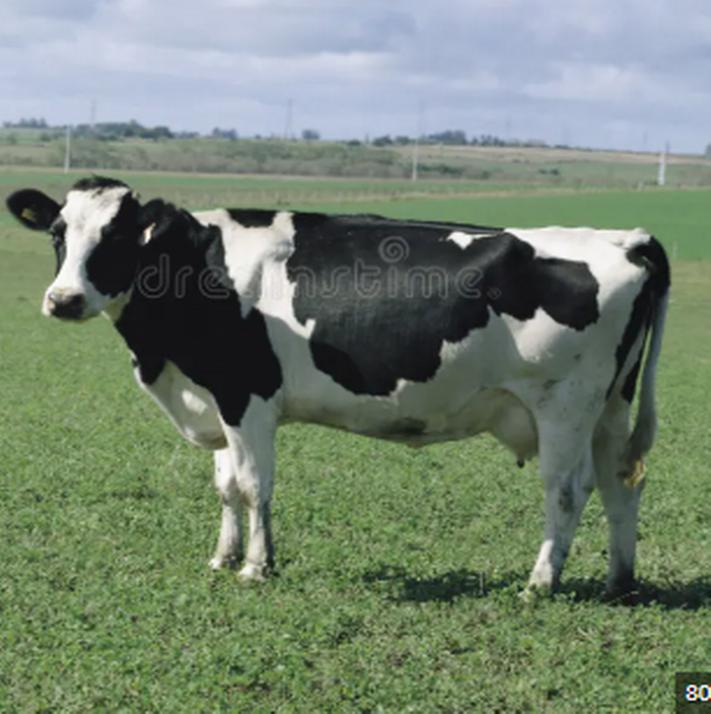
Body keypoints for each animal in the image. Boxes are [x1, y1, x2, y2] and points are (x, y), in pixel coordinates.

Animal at [6, 176, 669, 597]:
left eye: (117, 235)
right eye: (58, 233)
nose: (64, 300)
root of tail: (624, 238)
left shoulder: (248, 397)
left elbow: (254, 486)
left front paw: (257, 567)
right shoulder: (216, 399)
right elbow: (225, 485)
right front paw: (223, 557)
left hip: (564, 405)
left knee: (567, 490)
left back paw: (540, 583)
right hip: (610, 406)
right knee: (621, 483)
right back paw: (619, 581)